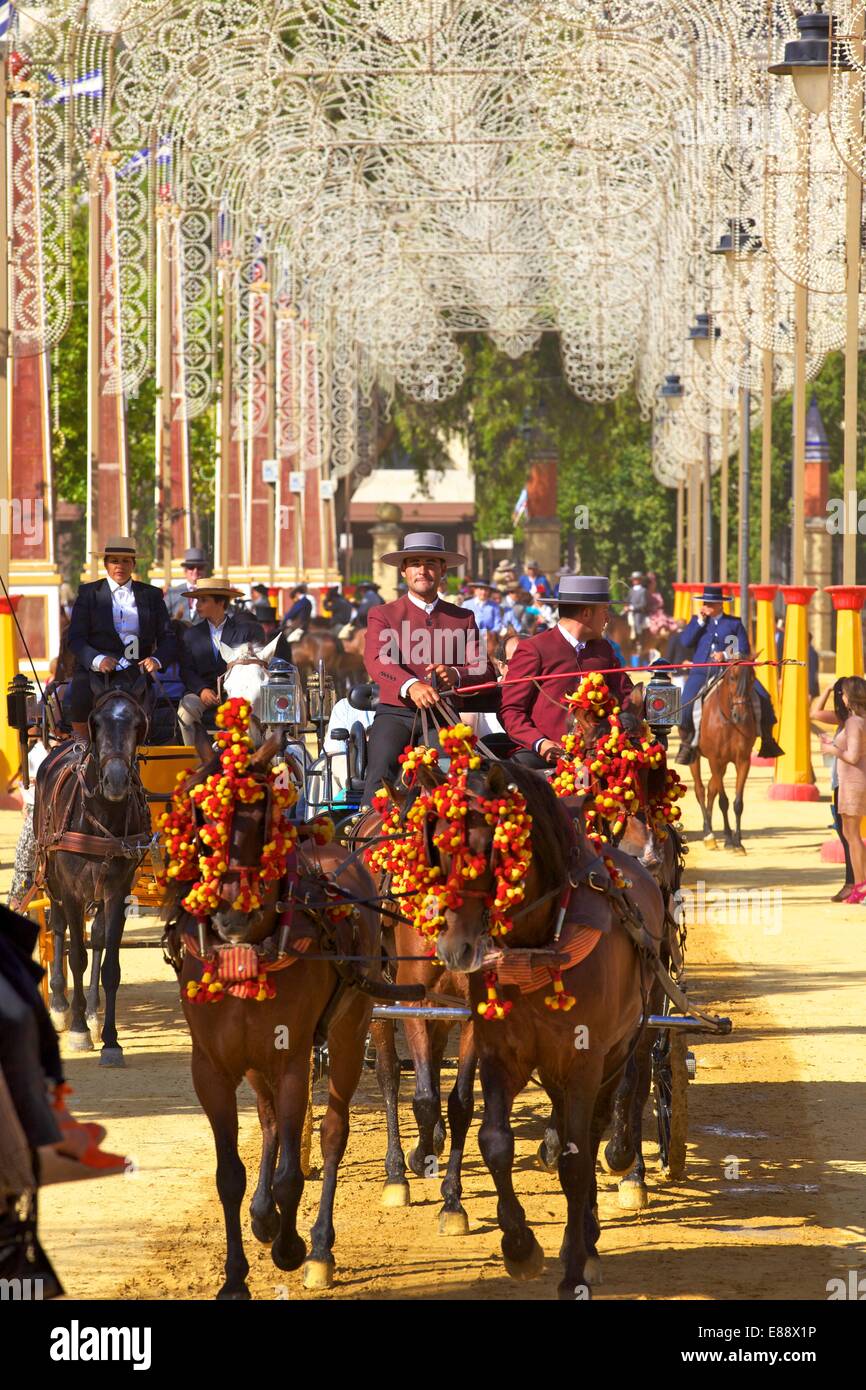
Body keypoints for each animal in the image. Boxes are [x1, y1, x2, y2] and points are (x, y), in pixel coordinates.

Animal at [37, 672, 153, 1061]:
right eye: (97, 721)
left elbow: (110, 964)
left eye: (137, 724)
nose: (115, 780)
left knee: (98, 938)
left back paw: (89, 1008)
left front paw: (111, 1039)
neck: (102, 814)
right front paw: (77, 1030)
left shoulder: (118, 890)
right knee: (57, 929)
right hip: (52, 879)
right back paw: (61, 1004)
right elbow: (76, 956)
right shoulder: (71, 890)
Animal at [162, 722, 389, 1295]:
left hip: (351, 1029)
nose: (231, 914)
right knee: (267, 1123)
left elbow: (292, 1173)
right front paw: (236, 1274)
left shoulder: (291, 1058)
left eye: (261, 811)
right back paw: (264, 1216)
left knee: (332, 1132)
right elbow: (229, 1175)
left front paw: (291, 1248)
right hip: (255, 1059)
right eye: (199, 811)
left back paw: (320, 1246)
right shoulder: (212, 1067)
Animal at [414, 756, 664, 1295]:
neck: (537, 941)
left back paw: (586, 1235)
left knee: (595, 1131)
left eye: (490, 849)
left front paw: (573, 1268)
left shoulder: (586, 1062)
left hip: (619, 1052)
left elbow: (575, 1160)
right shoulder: (499, 1054)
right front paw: (519, 1245)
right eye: (437, 846)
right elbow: (494, 1143)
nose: (455, 949)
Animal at [686, 658, 756, 850]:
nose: (741, 715)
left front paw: (737, 841)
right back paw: (708, 834)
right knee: (700, 790)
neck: (729, 722)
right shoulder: (715, 760)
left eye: (753, 678)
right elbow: (723, 801)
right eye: (732, 677)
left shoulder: (743, 761)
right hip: (696, 759)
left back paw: (711, 829)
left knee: (711, 789)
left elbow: (737, 803)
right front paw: (729, 840)